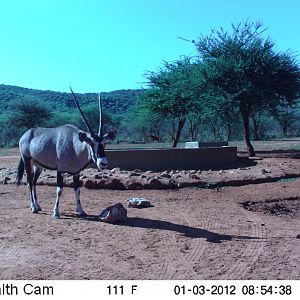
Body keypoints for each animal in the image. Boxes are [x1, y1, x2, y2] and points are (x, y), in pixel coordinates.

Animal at [15, 88, 116, 219]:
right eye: (91, 143)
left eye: (105, 143)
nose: (103, 163)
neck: (74, 145)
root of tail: (26, 134)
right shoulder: (60, 170)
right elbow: (59, 190)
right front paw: (56, 213)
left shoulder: (77, 173)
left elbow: (77, 190)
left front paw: (81, 211)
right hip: (27, 161)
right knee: (28, 182)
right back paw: (33, 208)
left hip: (38, 166)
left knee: (33, 182)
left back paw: (38, 206)